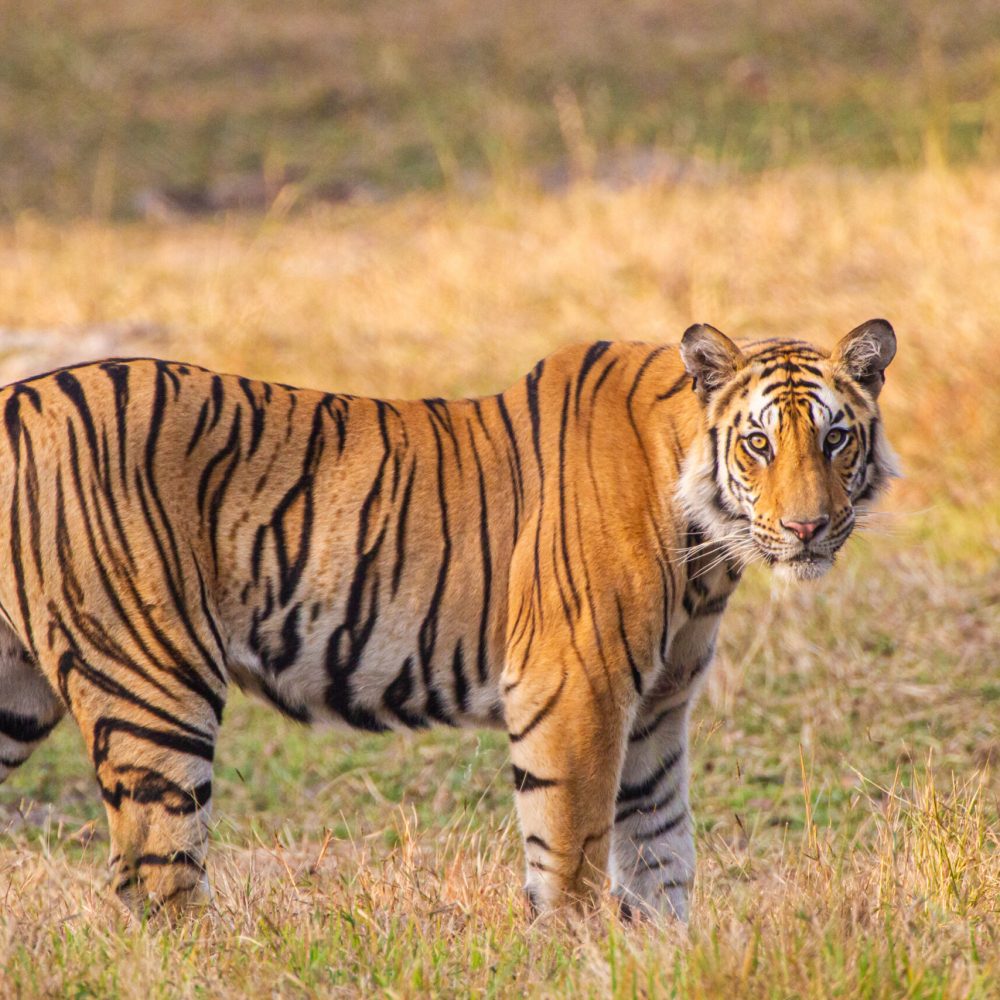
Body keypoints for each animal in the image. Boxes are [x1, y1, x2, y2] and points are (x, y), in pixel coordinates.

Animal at [0, 320, 900, 920]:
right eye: (758, 443)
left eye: (836, 438)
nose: (807, 529)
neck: (708, 548)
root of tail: (18, 396)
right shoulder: (576, 687)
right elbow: (572, 853)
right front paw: (574, 957)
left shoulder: (657, 708)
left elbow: (661, 853)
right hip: (154, 685)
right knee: (156, 881)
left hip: (20, 695)